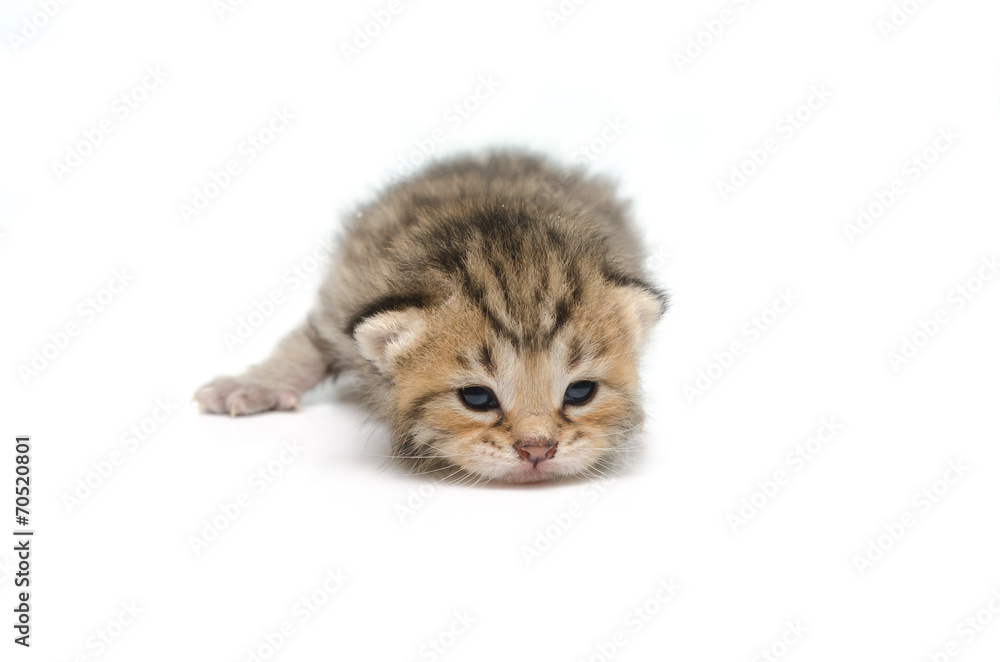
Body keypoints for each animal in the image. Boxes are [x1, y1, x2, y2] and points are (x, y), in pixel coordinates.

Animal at [193, 152, 664, 482]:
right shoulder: (343, 298)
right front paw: (252, 385)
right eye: (477, 398)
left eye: (580, 391)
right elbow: (303, 348)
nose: (537, 450)